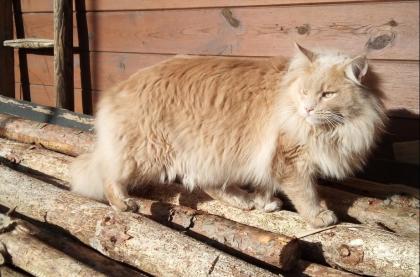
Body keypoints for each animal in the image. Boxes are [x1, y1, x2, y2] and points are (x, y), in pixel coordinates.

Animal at [70, 44, 386, 226]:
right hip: (148, 153)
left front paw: (264, 203)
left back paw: (243, 200)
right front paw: (319, 217)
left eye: (327, 94)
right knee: (109, 175)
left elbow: (266, 185)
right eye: (305, 92)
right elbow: (306, 194)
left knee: (207, 185)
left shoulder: (269, 158)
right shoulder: (290, 160)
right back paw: (123, 204)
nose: (307, 108)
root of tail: (118, 88)